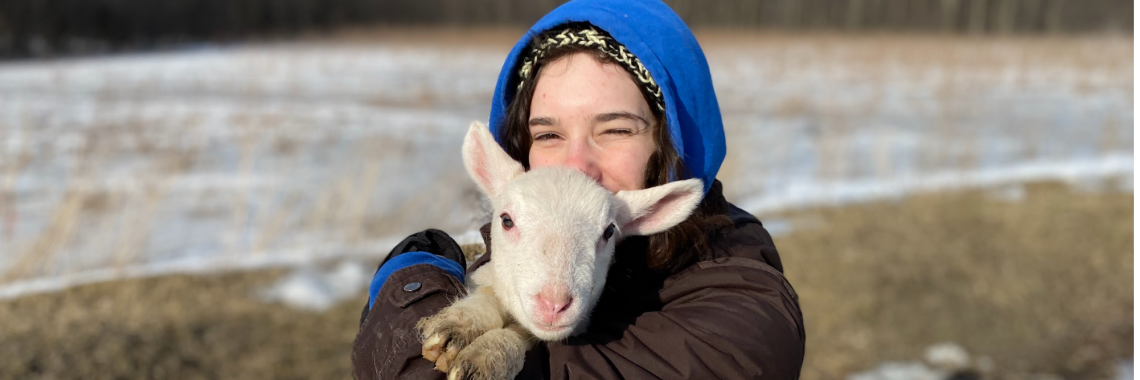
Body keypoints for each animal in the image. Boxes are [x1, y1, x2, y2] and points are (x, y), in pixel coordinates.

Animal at [419, 122, 702, 378]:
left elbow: (524, 335)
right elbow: (488, 295)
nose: (554, 305)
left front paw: (486, 355)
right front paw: (459, 326)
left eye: (609, 232)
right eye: (506, 220)